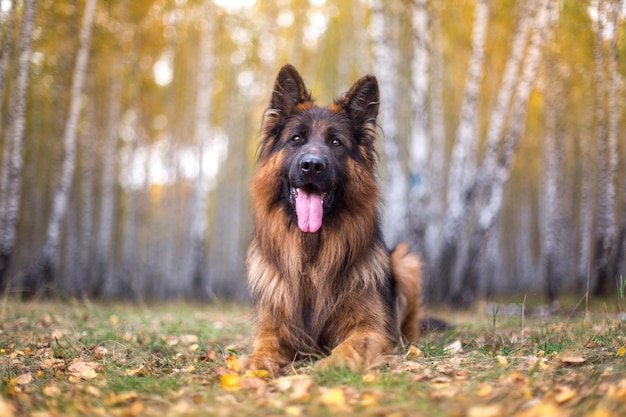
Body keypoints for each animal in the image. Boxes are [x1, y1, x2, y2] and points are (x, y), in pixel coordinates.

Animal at [241, 65, 422, 374]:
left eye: (336, 142)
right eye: (296, 139)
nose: (312, 166)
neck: (311, 254)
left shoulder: (370, 328)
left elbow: (351, 346)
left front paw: (330, 366)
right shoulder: (274, 327)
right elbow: (264, 346)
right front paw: (253, 363)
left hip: (406, 262)